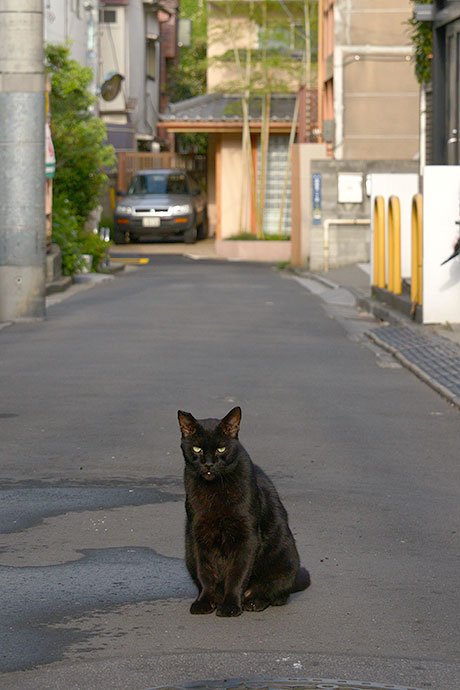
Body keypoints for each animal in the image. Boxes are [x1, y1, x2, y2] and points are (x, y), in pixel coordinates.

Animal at [178, 406, 310, 616]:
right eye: (197, 449)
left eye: (221, 449)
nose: (208, 464)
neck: (214, 491)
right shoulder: (199, 535)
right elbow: (205, 573)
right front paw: (205, 602)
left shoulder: (246, 536)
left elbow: (237, 574)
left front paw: (230, 606)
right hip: (188, 553)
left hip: (285, 558)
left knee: (277, 593)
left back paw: (254, 602)